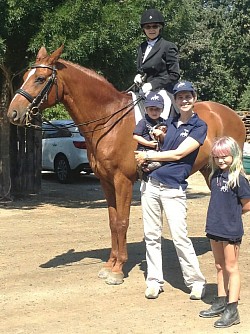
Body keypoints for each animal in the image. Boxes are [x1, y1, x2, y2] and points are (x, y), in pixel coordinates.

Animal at [6, 45, 245, 284]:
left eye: (40, 78)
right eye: (26, 77)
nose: (13, 113)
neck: (108, 120)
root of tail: (231, 114)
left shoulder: (123, 181)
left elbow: (122, 221)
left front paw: (118, 269)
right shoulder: (106, 182)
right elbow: (113, 222)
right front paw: (109, 265)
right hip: (208, 169)